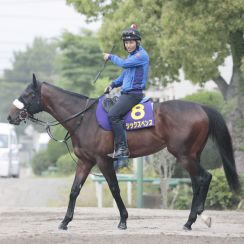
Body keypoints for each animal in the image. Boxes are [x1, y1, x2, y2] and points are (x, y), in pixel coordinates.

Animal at [7, 75, 240, 231]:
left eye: (28, 94)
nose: (10, 116)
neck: (84, 118)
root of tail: (201, 107)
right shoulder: (85, 161)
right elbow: (74, 190)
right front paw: (65, 221)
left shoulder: (103, 160)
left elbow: (114, 188)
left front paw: (123, 220)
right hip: (192, 155)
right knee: (198, 181)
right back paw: (195, 218)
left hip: (183, 155)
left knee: (204, 177)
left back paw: (193, 219)